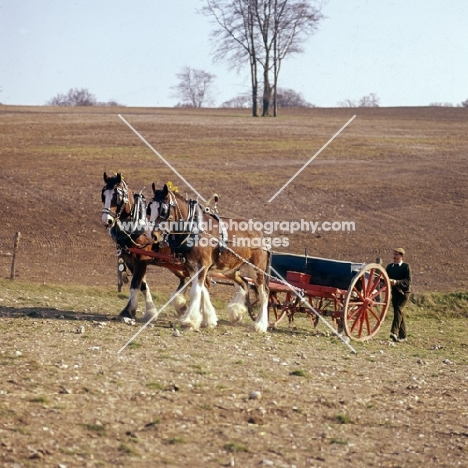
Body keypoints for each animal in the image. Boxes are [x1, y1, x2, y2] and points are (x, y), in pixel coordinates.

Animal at [101, 173, 188, 322]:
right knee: (186, 279)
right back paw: (181, 305)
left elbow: (135, 284)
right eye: (103, 195)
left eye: (116, 197)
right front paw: (150, 312)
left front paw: (128, 311)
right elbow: (142, 285)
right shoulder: (130, 260)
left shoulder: (141, 260)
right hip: (174, 264)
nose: (107, 221)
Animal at [146, 183, 270, 332]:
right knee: (244, 284)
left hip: (256, 269)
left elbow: (195, 291)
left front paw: (190, 321)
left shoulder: (201, 266)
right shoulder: (192, 267)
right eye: (149, 208)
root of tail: (260, 233)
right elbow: (203, 291)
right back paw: (236, 312)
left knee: (264, 292)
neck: (195, 229)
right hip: (230, 269)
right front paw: (208, 319)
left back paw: (259, 325)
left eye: (163, 210)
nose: (152, 235)